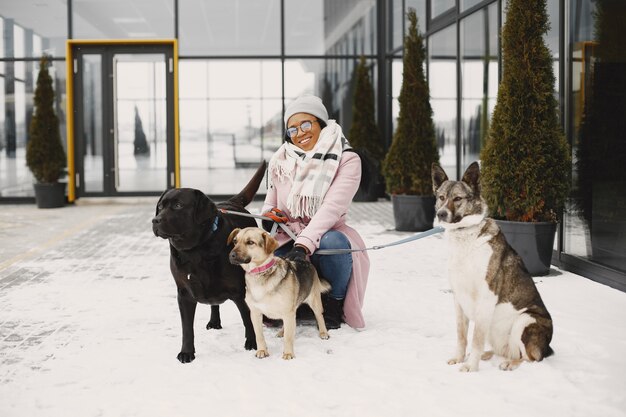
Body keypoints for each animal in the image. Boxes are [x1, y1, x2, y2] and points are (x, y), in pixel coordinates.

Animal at [155, 161, 266, 362]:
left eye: (178, 205)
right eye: (160, 206)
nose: (155, 220)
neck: (196, 249)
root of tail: (232, 201)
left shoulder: (240, 291)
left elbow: (248, 319)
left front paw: (253, 343)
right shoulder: (184, 293)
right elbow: (186, 328)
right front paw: (187, 352)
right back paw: (214, 321)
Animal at [225, 226, 332, 360]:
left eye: (250, 242)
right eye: (235, 241)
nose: (231, 255)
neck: (259, 273)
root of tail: (305, 261)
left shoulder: (288, 312)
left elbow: (288, 338)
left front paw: (288, 353)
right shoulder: (255, 313)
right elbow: (259, 336)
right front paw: (262, 350)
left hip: (314, 301)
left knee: (319, 316)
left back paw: (323, 332)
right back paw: (282, 331)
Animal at [428, 162, 552, 370]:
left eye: (458, 198)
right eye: (441, 197)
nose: (441, 214)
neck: (465, 236)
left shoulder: (486, 297)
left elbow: (476, 337)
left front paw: (471, 367)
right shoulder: (458, 298)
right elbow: (462, 336)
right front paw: (460, 358)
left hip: (525, 320)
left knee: (530, 358)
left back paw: (510, 364)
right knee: (503, 351)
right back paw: (487, 355)